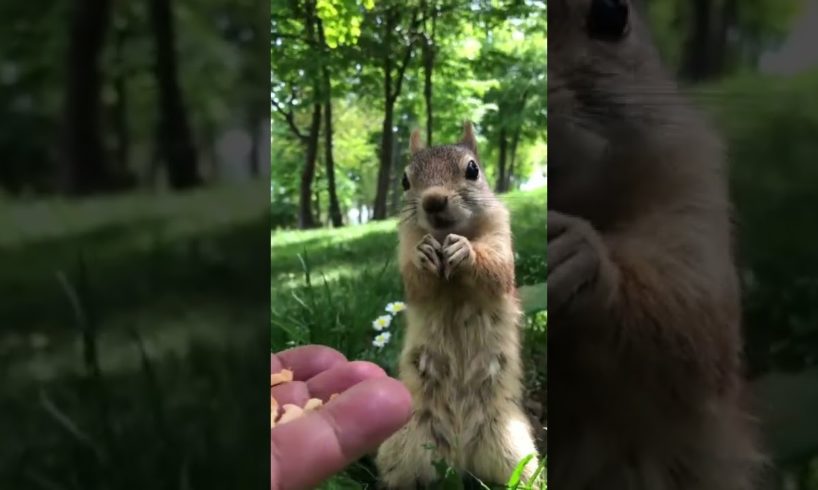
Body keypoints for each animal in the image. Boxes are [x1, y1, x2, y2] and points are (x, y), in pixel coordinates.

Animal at [372, 121, 540, 486]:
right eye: (405, 180)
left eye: (473, 169)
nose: (433, 200)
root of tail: (459, 458)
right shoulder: (406, 246)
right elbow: (416, 284)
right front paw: (423, 256)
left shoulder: (501, 238)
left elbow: (497, 271)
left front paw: (467, 251)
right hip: (404, 445)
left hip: (512, 447)